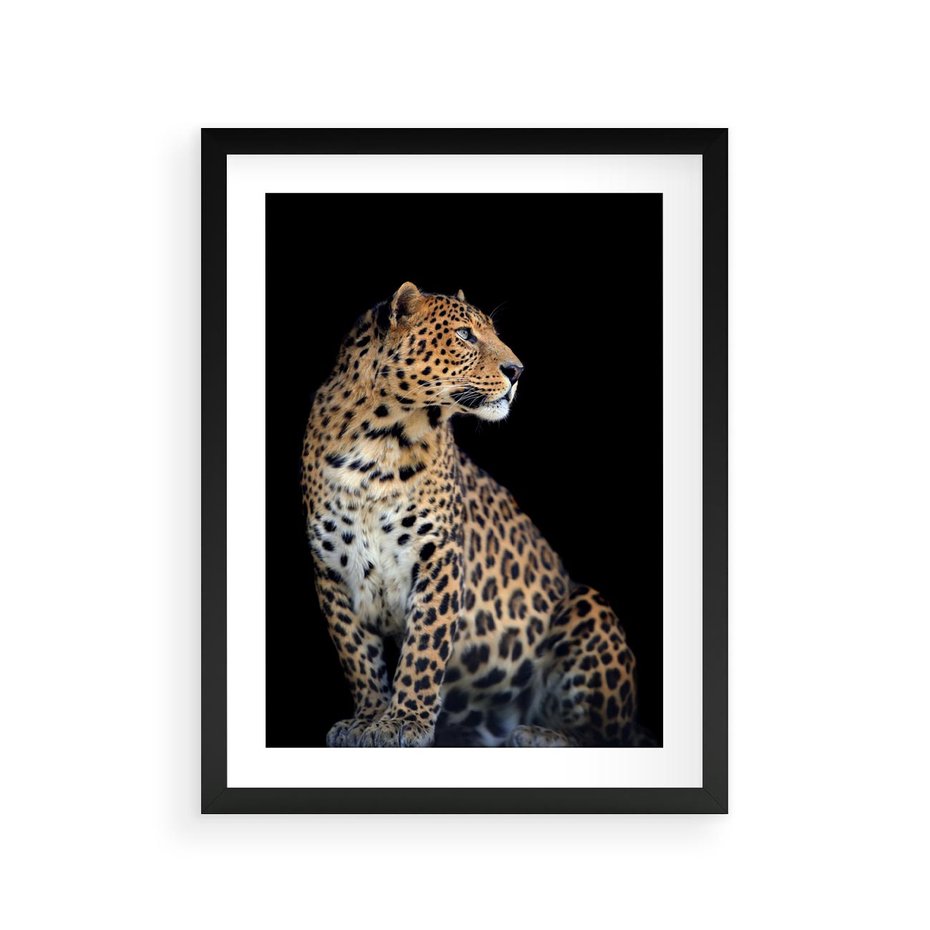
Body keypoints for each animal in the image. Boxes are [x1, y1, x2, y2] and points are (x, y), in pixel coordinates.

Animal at [301, 282, 650, 748]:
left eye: (492, 332)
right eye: (465, 335)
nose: (517, 370)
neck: (379, 441)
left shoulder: (439, 556)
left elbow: (424, 649)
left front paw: (403, 723)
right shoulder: (331, 569)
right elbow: (356, 652)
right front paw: (368, 718)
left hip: (588, 606)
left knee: (609, 734)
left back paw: (540, 734)